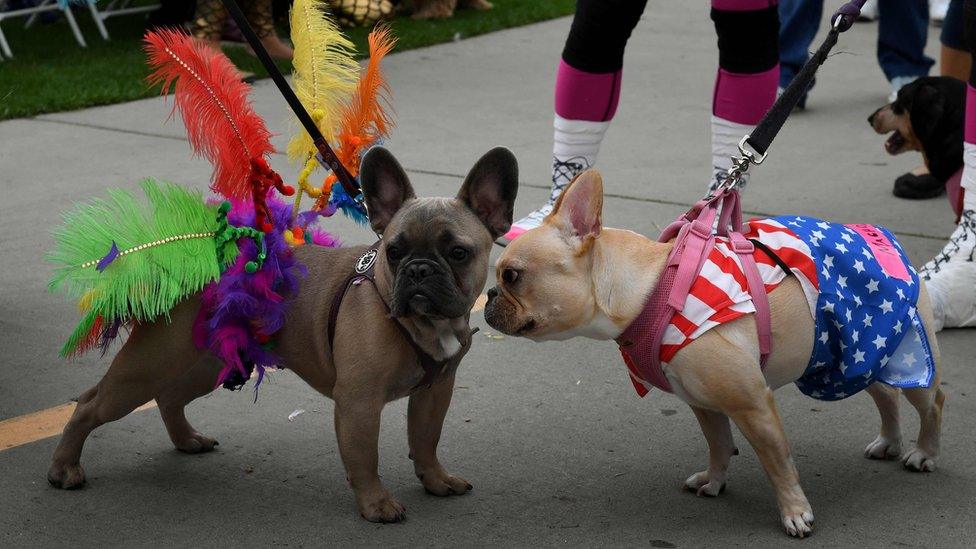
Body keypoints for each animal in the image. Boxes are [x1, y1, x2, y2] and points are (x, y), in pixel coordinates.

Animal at [47, 146, 520, 524]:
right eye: (394, 251)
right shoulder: (359, 402)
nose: (419, 270)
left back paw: (187, 440)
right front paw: (376, 505)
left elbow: (425, 440)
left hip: (205, 364)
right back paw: (64, 469)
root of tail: (186, 261)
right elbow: (365, 457)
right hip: (148, 366)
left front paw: (436, 480)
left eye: (458, 252)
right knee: (91, 404)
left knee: (169, 397)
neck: (416, 323)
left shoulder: (435, 391)